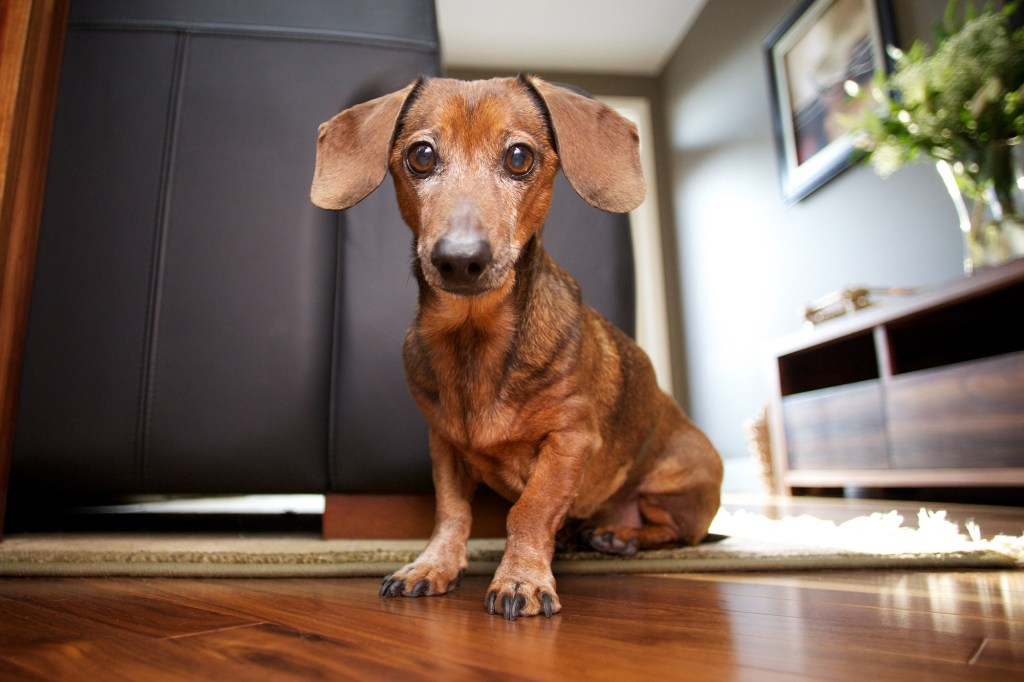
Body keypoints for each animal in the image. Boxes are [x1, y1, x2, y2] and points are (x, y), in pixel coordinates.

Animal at [309, 76, 720, 618]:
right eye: (421, 155)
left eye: (520, 157)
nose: (460, 259)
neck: (473, 338)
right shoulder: (444, 445)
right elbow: (451, 512)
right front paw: (433, 565)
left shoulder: (569, 439)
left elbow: (531, 509)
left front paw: (521, 579)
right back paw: (582, 535)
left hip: (674, 482)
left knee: (672, 532)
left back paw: (619, 535)